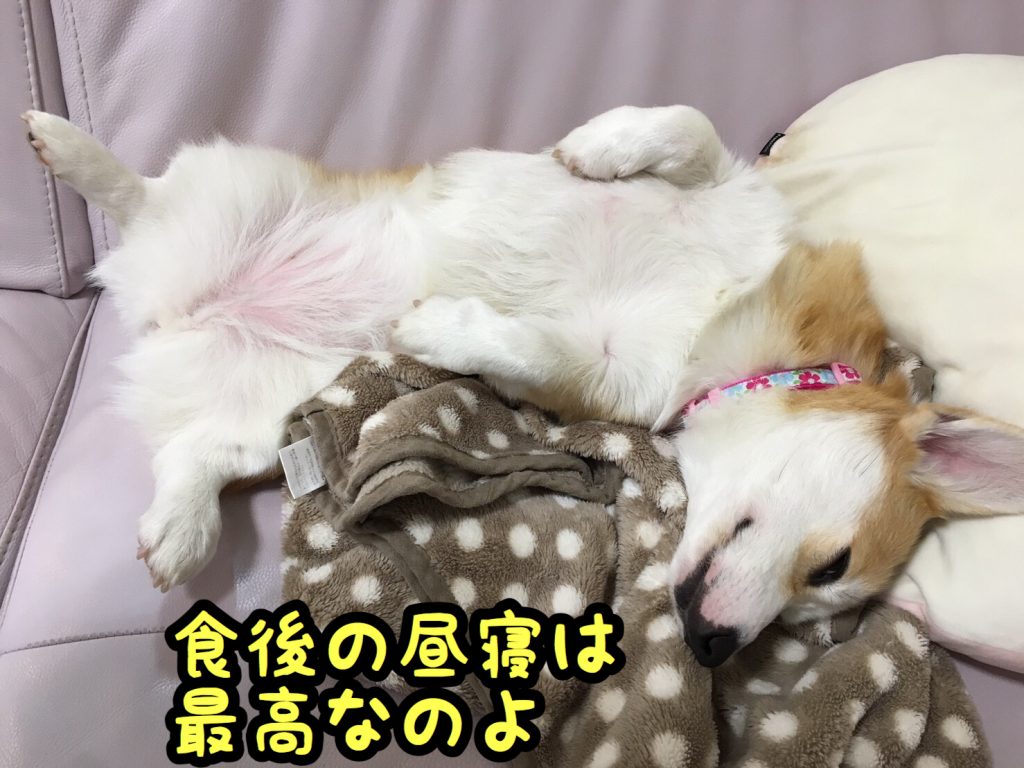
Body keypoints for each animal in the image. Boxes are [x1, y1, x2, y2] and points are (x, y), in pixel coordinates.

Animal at [24, 105, 1024, 666]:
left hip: (267, 412)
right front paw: (595, 148)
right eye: (832, 566)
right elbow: (690, 128)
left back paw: (180, 530)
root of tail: (164, 305)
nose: (713, 650)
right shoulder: (734, 196)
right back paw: (64, 144)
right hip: (243, 188)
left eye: (823, 604)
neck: (734, 335)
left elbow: (535, 354)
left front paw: (437, 328)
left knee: (193, 453)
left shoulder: (612, 375)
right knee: (140, 194)